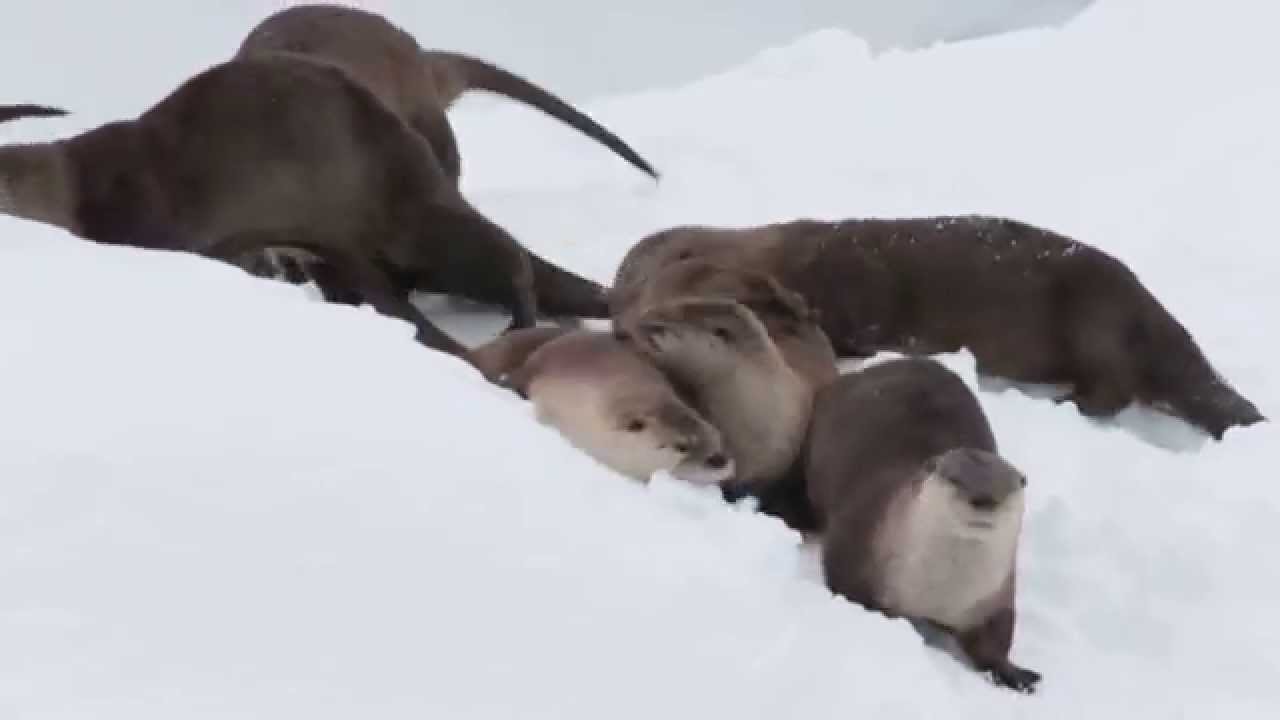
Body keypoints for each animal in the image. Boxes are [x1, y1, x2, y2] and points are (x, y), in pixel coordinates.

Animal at [0, 53, 614, 367]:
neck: (76, 187)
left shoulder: (145, 217)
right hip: (357, 254)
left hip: (414, 219)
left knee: (511, 258)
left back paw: (522, 323)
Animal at [806, 357, 1039, 693]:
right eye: (956, 478)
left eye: (1006, 488)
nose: (984, 499)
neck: (940, 593)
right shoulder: (855, 535)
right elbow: (847, 586)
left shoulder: (996, 595)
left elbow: (996, 638)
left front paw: (1012, 673)